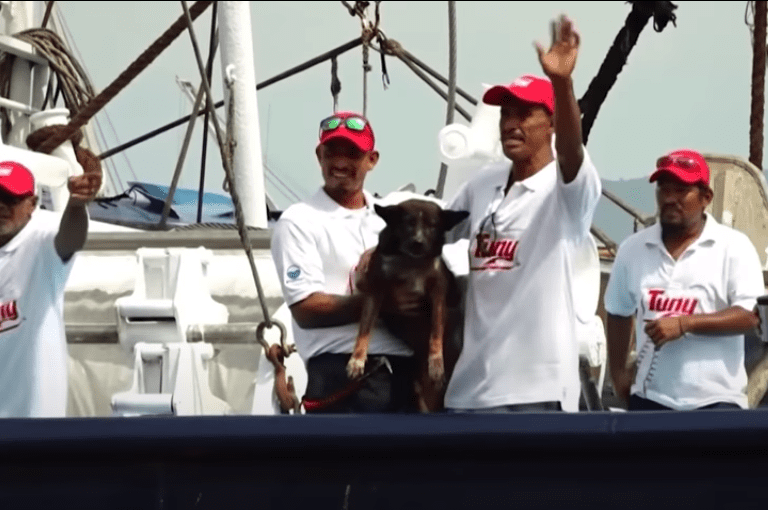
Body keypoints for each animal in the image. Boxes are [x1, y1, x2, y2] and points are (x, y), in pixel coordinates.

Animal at [348, 198, 468, 410]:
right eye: (408, 223)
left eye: (433, 226)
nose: (418, 243)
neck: (410, 262)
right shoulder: (375, 289)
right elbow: (364, 329)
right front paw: (357, 359)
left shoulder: (438, 292)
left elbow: (436, 330)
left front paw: (436, 363)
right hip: (419, 392)